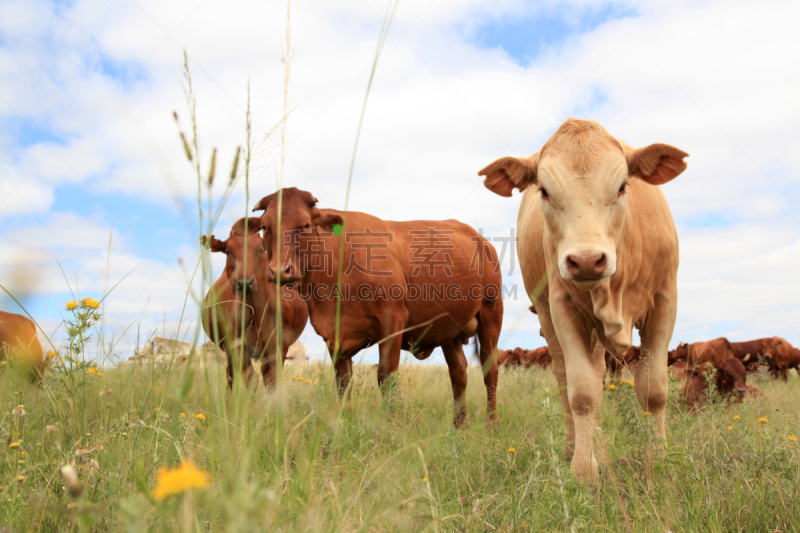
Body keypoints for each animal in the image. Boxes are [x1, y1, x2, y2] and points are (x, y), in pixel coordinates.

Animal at [202, 217, 308, 390]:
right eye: (228, 251)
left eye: (260, 250)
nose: (244, 282)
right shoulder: (236, 345)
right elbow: (249, 379)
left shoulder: (278, 346)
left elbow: (272, 381)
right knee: (231, 376)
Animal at [253, 189, 504, 426]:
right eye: (265, 227)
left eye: (305, 225)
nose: (279, 270)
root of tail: (482, 241)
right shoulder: (334, 336)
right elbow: (343, 383)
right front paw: (345, 424)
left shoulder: (392, 323)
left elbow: (386, 379)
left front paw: (390, 424)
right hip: (449, 331)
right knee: (458, 374)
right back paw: (458, 426)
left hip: (491, 315)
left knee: (489, 372)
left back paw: (491, 424)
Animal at [482, 118, 688, 480]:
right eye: (545, 191)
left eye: (622, 186)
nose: (588, 260)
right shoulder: (562, 308)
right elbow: (582, 393)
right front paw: (583, 467)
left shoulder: (665, 301)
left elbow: (654, 389)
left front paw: (659, 459)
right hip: (549, 317)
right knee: (567, 378)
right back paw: (578, 447)